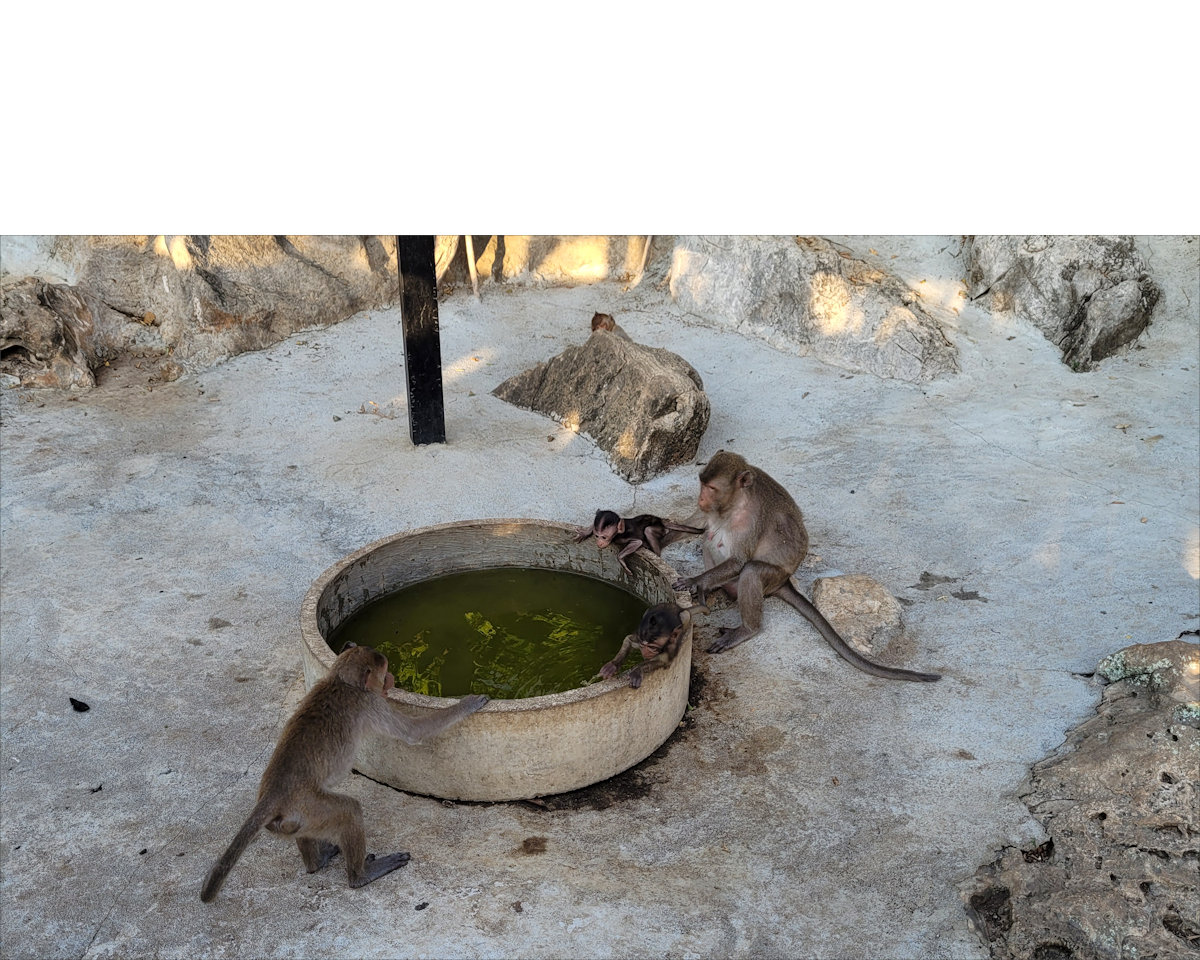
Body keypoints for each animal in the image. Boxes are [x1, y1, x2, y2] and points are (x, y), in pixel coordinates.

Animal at [200, 644, 489, 902]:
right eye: (384, 672)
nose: (391, 680)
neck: (339, 679)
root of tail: (272, 795)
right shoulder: (371, 703)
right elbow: (413, 733)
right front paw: (468, 704)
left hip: (296, 820)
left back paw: (316, 862)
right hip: (310, 807)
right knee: (349, 810)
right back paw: (361, 875)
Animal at [574, 509, 704, 573]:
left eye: (604, 537)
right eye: (597, 536)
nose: (599, 542)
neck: (618, 532)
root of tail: (660, 520)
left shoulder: (623, 537)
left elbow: (637, 542)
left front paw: (621, 560)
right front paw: (584, 533)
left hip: (659, 529)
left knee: (648, 531)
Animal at [672, 451, 942, 682]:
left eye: (712, 488)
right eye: (702, 484)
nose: (700, 498)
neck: (733, 504)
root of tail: (784, 582)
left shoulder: (750, 519)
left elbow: (739, 560)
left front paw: (697, 580)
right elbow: (693, 525)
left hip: (772, 577)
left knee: (750, 570)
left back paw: (747, 628)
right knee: (709, 538)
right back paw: (714, 591)